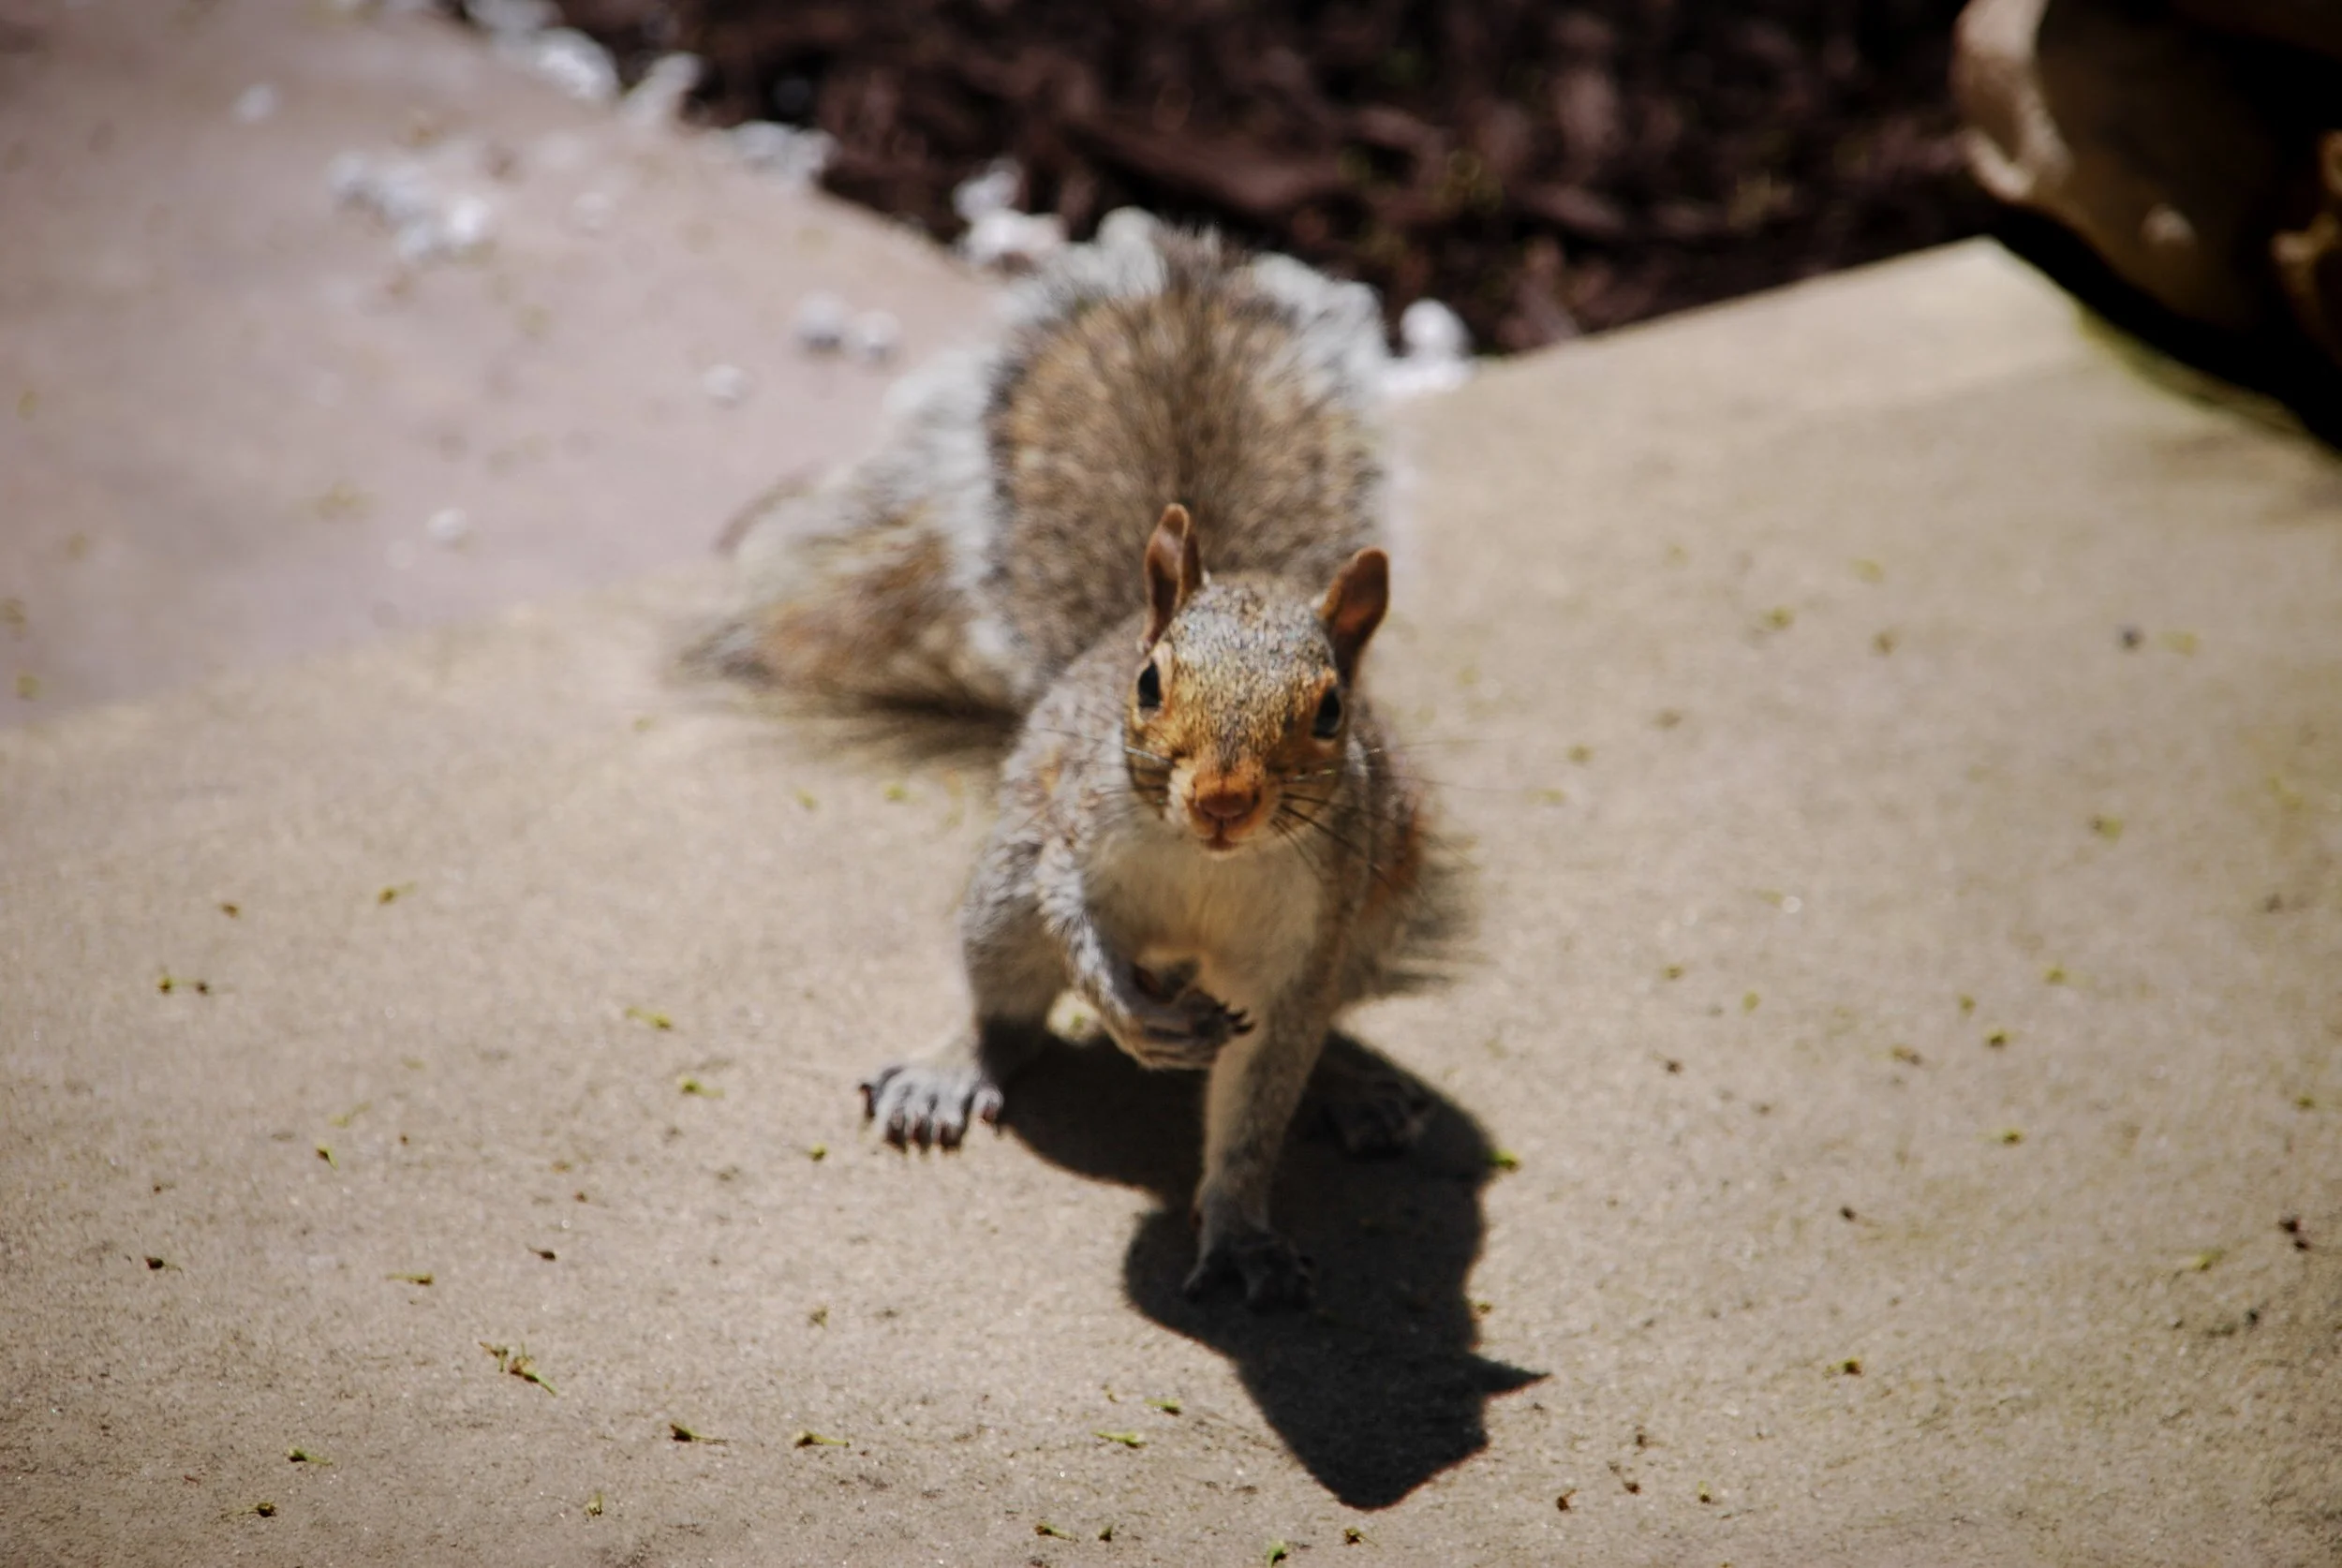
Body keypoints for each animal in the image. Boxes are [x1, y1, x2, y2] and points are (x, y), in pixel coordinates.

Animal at [703, 220, 1459, 1309]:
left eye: (1330, 713)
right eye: (1148, 685)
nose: (1224, 799)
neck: (1207, 866)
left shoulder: (1304, 950)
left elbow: (1258, 1112)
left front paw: (1243, 1236)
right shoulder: (1072, 833)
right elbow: (1074, 920)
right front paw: (1125, 1012)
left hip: (1374, 925)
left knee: (1326, 1032)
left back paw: (1352, 1087)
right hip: (1000, 893)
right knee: (1009, 1006)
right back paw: (954, 1066)